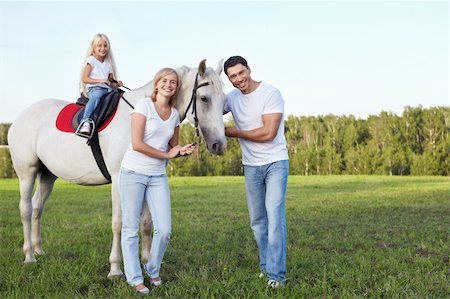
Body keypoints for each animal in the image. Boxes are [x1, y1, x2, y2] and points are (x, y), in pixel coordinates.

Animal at [9, 59, 229, 278]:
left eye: (224, 103)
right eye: (204, 98)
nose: (219, 145)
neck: (138, 117)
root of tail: (18, 119)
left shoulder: (147, 177)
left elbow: (146, 223)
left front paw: (147, 262)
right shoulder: (118, 180)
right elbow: (118, 223)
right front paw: (115, 268)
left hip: (48, 175)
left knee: (37, 207)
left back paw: (38, 249)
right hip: (27, 173)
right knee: (25, 209)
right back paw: (29, 256)